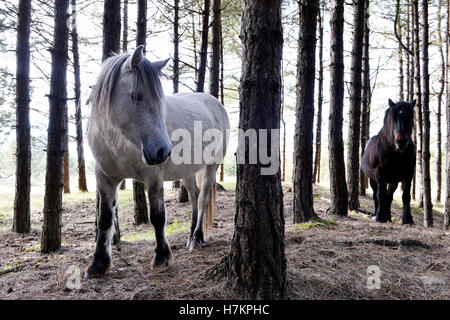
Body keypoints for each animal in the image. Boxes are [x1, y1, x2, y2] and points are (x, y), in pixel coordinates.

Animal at [85, 45, 229, 278]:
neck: (120, 141)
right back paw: (190, 236)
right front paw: (98, 263)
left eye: (160, 100)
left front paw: (162, 256)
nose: (163, 151)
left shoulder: (153, 177)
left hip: (211, 167)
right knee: (193, 197)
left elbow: (158, 216)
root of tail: (215, 102)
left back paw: (197, 238)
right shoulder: (105, 177)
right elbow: (105, 218)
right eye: (136, 96)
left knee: (202, 199)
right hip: (187, 171)